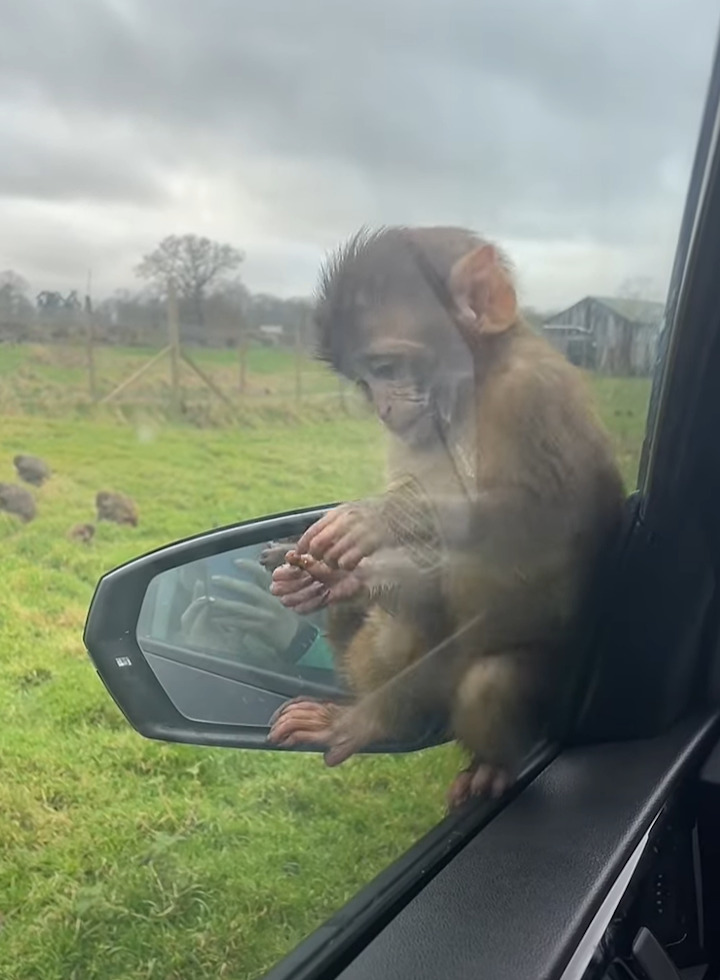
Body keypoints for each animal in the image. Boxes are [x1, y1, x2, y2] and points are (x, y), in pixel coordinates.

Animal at [268, 226, 620, 808]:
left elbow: (549, 524)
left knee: (488, 679)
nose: (384, 407)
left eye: (387, 368)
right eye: (364, 382)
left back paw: (437, 743)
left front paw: (383, 516)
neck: (470, 398)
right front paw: (330, 577)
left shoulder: (536, 392)